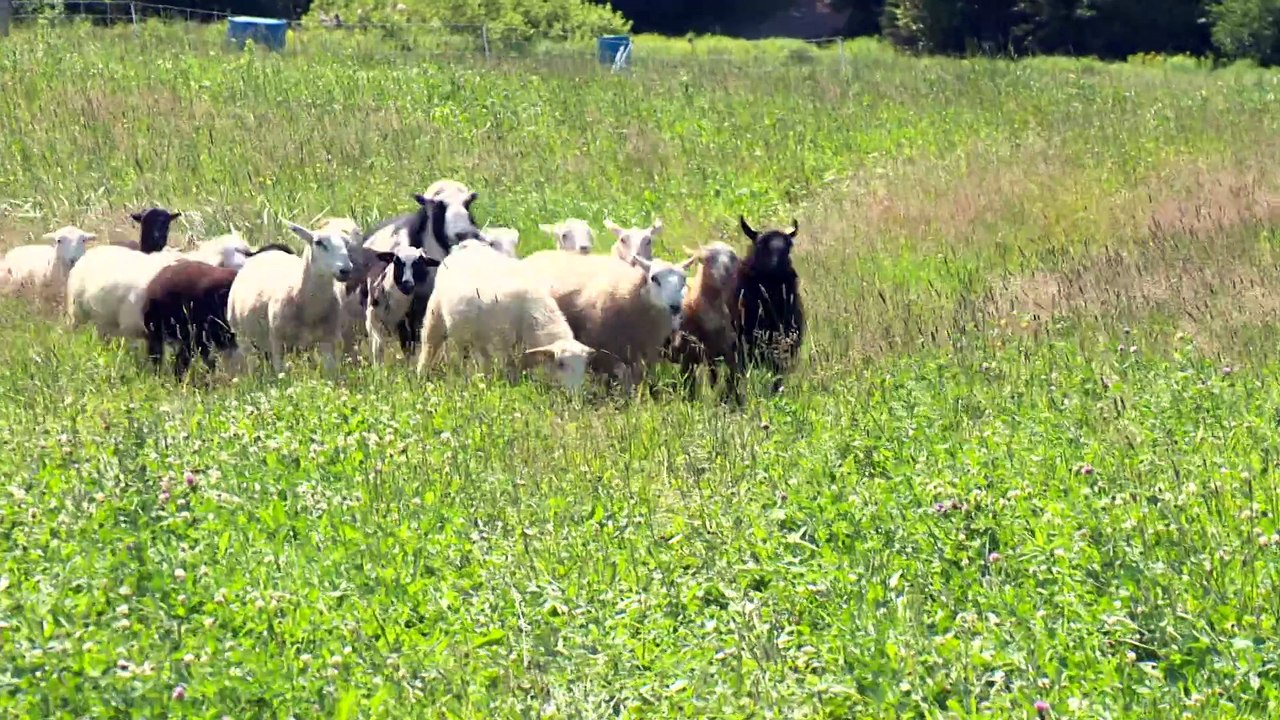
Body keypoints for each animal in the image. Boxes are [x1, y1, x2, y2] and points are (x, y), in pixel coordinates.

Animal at [226, 218, 356, 372]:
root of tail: (267, 252)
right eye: (318, 242)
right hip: (242, 335)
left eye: (347, 243)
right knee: (251, 362)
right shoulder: (278, 342)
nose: (346, 270)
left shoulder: (329, 340)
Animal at [417, 240, 601, 390]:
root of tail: (464, 246)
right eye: (561, 364)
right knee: (430, 345)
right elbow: (510, 369)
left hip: (477, 333)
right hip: (436, 313)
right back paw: (422, 375)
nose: (574, 392)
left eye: (584, 365)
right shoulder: (503, 344)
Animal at [519, 249, 697, 390]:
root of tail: (536, 255)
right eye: (654, 278)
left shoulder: (643, 355)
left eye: (683, 281)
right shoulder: (605, 351)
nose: (675, 306)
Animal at [664, 241, 744, 401]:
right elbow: (689, 387)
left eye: (733, 258)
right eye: (705, 259)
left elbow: (729, 382)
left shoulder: (728, 354)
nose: (724, 273)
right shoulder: (687, 356)